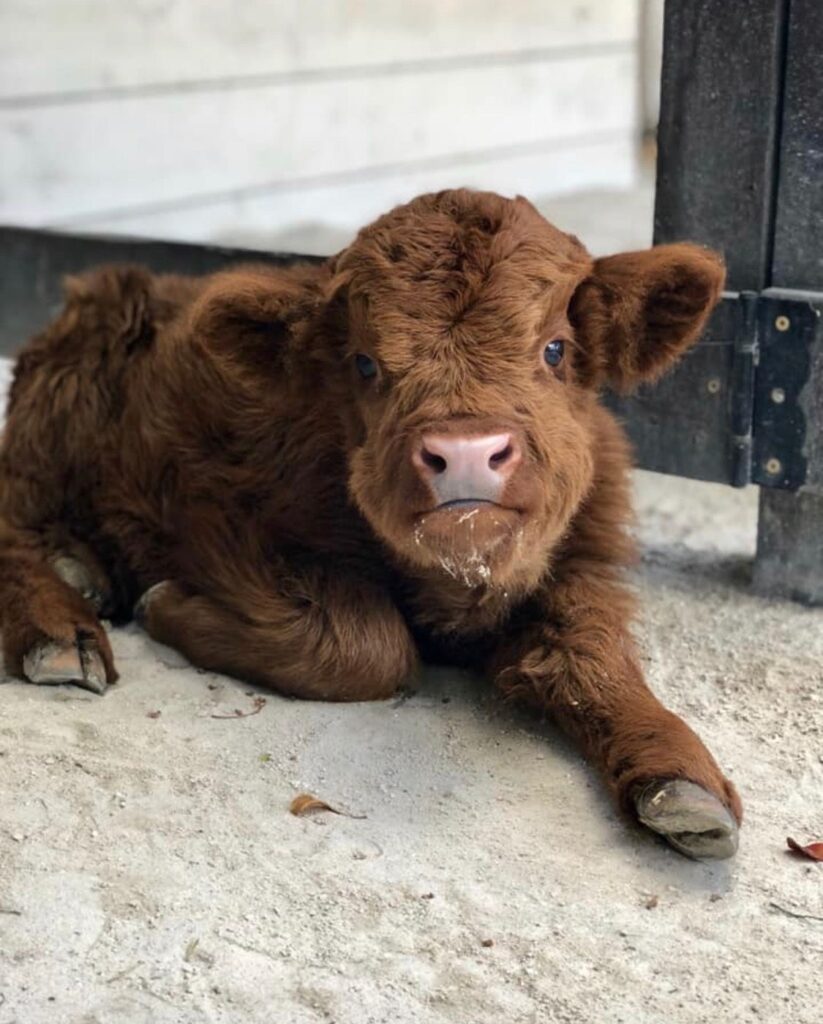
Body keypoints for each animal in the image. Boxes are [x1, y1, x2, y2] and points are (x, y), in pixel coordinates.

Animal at [0, 189, 740, 858]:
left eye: (555, 349)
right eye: (364, 363)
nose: (465, 453)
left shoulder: (586, 559)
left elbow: (591, 657)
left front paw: (684, 782)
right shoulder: (211, 516)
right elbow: (368, 646)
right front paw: (166, 605)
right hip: (57, 404)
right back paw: (62, 627)